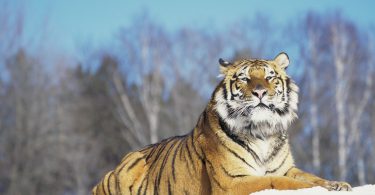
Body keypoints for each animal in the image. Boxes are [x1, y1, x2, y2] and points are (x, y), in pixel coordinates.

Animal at [92, 52, 352, 194]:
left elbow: (310, 177)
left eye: (270, 77)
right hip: (132, 163)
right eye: (245, 79)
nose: (260, 92)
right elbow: (278, 182)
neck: (262, 132)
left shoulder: (286, 167)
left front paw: (338, 184)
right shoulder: (233, 182)